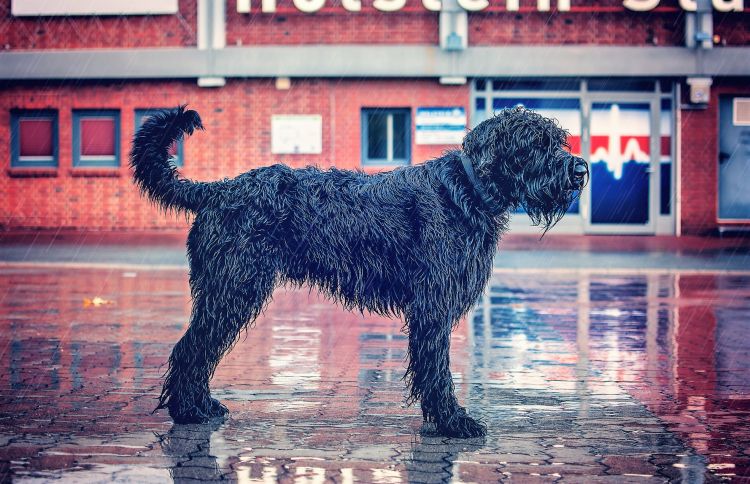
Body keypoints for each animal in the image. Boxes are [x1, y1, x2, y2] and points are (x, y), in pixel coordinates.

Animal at [129, 105, 592, 438]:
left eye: (559, 140)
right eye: (535, 142)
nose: (581, 169)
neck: (466, 190)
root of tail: (218, 189)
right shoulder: (432, 308)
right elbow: (437, 370)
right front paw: (451, 422)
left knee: (199, 349)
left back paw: (201, 406)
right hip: (232, 288)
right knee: (191, 348)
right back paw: (188, 411)